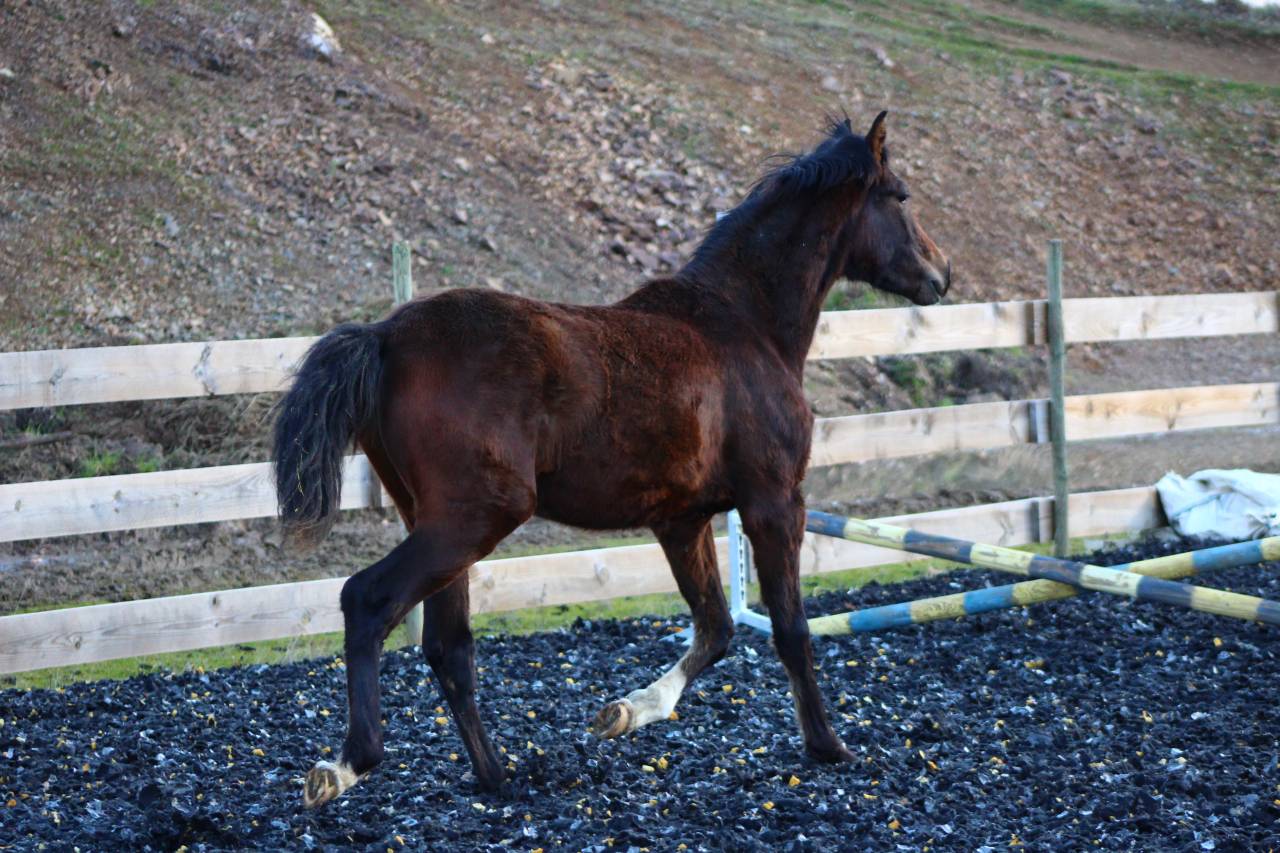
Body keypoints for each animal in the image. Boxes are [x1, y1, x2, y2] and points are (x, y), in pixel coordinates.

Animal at [273, 111, 951, 808]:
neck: (745, 326)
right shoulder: (774, 503)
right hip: (474, 519)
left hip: (438, 523)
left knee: (448, 646)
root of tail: (385, 336)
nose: (941, 273)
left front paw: (625, 711)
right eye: (900, 197)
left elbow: (716, 627)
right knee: (369, 601)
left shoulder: (682, 521)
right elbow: (789, 627)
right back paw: (346, 765)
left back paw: (497, 778)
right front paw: (827, 746)